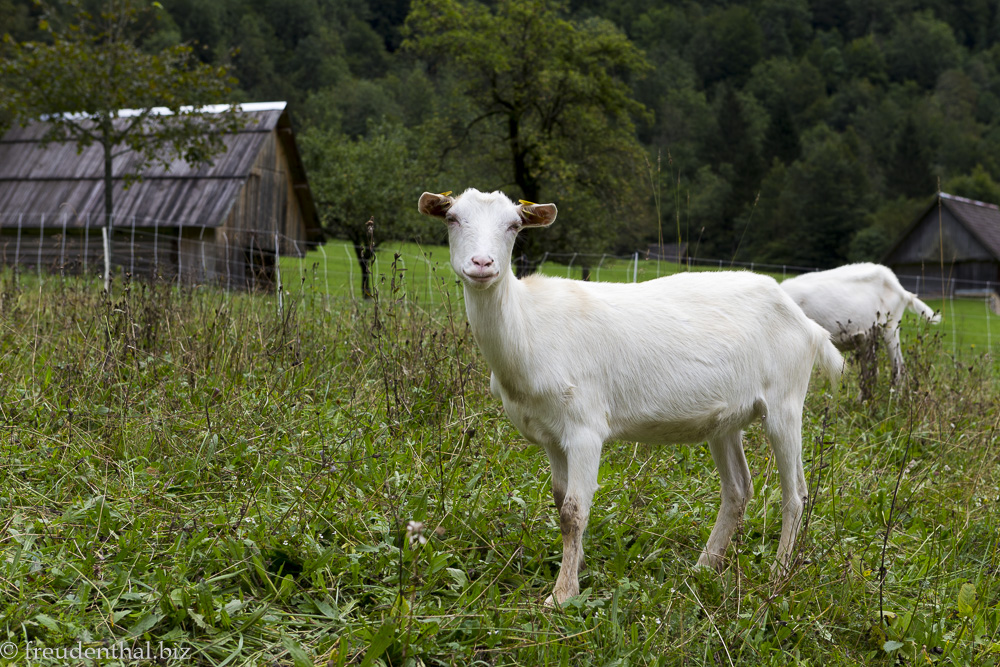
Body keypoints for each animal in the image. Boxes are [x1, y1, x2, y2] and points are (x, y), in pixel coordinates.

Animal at [419, 188, 844, 605]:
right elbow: (560, 501)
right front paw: (576, 567)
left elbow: (573, 511)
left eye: (513, 225)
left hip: (786, 402)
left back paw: (779, 575)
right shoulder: (552, 435)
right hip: (726, 420)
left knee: (795, 494)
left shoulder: (586, 426)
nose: (482, 263)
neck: (528, 328)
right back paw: (703, 568)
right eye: (452, 219)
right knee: (738, 489)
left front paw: (562, 595)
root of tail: (808, 325)